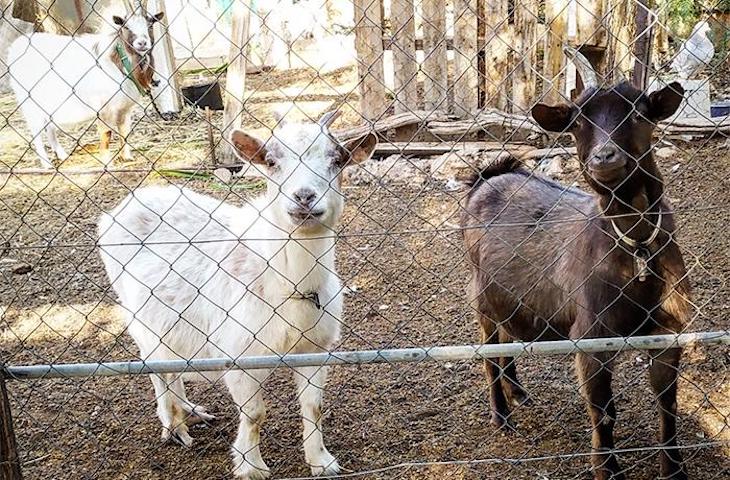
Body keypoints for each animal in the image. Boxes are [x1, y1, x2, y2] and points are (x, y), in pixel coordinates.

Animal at [7, 5, 162, 168]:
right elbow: (106, 134)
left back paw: (62, 155)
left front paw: (127, 157)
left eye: (150, 25)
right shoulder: (104, 108)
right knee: (36, 133)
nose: (142, 43)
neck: (116, 61)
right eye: (126, 26)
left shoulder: (124, 108)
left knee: (49, 128)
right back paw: (47, 164)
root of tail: (15, 48)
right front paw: (108, 163)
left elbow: (124, 131)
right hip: (30, 104)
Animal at [97, 111, 377, 479]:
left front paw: (321, 460)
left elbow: (313, 406)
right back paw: (173, 425)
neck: (288, 287)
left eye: (337, 159)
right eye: (271, 161)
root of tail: (123, 205)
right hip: (136, 314)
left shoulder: (315, 348)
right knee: (155, 365)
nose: (304, 197)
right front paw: (251, 467)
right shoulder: (240, 354)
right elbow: (255, 414)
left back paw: (188, 411)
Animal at [461, 47, 689, 480]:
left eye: (640, 113)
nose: (604, 156)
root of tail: (488, 178)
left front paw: (674, 470)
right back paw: (501, 414)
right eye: (579, 121)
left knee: (506, 340)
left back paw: (518, 390)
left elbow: (668, 405)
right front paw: (607, 469)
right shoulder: (591, 340)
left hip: (510, 298)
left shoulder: (668, 332)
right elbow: (604, 414)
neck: (635, 251)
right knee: (489, 351)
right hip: (481, 297)